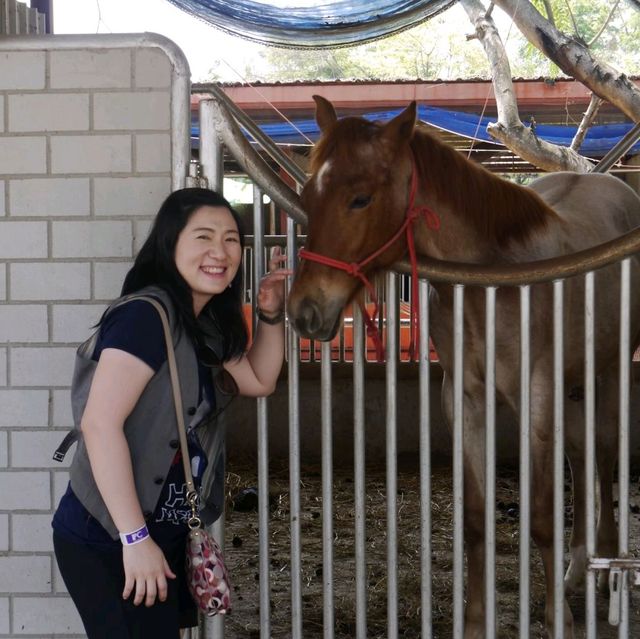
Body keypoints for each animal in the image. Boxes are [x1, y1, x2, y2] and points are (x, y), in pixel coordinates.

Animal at [288, 96, 640, 639]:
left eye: (361, 199)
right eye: (309, 193)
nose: (305, 310)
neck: (494, 284)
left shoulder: (537, 396)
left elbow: (541, 514)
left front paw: (556, 617)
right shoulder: (465, 400)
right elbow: (475, 517)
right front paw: (475, 621)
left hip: (612, 370)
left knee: (602, 456)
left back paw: (602, 573)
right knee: (581, 457)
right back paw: (577, 569)